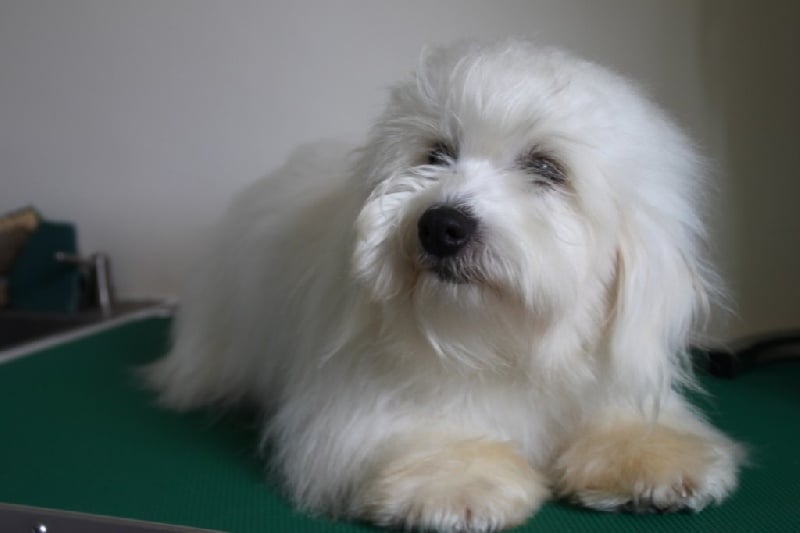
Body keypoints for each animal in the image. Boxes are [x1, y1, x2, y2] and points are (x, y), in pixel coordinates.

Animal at [146, 40, 742, 531]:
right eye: (435, 155)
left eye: (547, 168)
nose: (441, 225)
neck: (502, 343)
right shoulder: (355, 408)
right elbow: (420, 436)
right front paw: (459, 482)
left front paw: (651, 458)